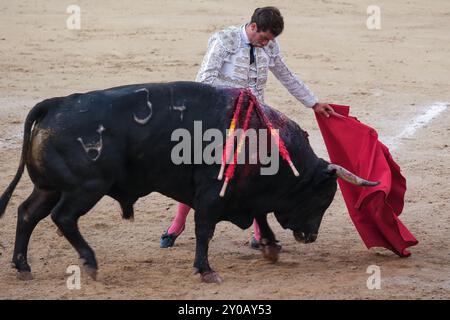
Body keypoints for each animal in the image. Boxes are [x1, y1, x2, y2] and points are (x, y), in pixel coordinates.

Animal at [1, 82, 378, 282]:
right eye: (323, 197)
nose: (310, 236)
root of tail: (56, 104)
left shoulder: (246, 194)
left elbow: (261, 216)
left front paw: (270, 247)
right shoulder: (211, 194)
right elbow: (205, 229)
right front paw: (206, 270)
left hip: (50, 187)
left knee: (27, 214)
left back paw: (23, 267)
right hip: (85, 188)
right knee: (62, 218)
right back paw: (90, 263)